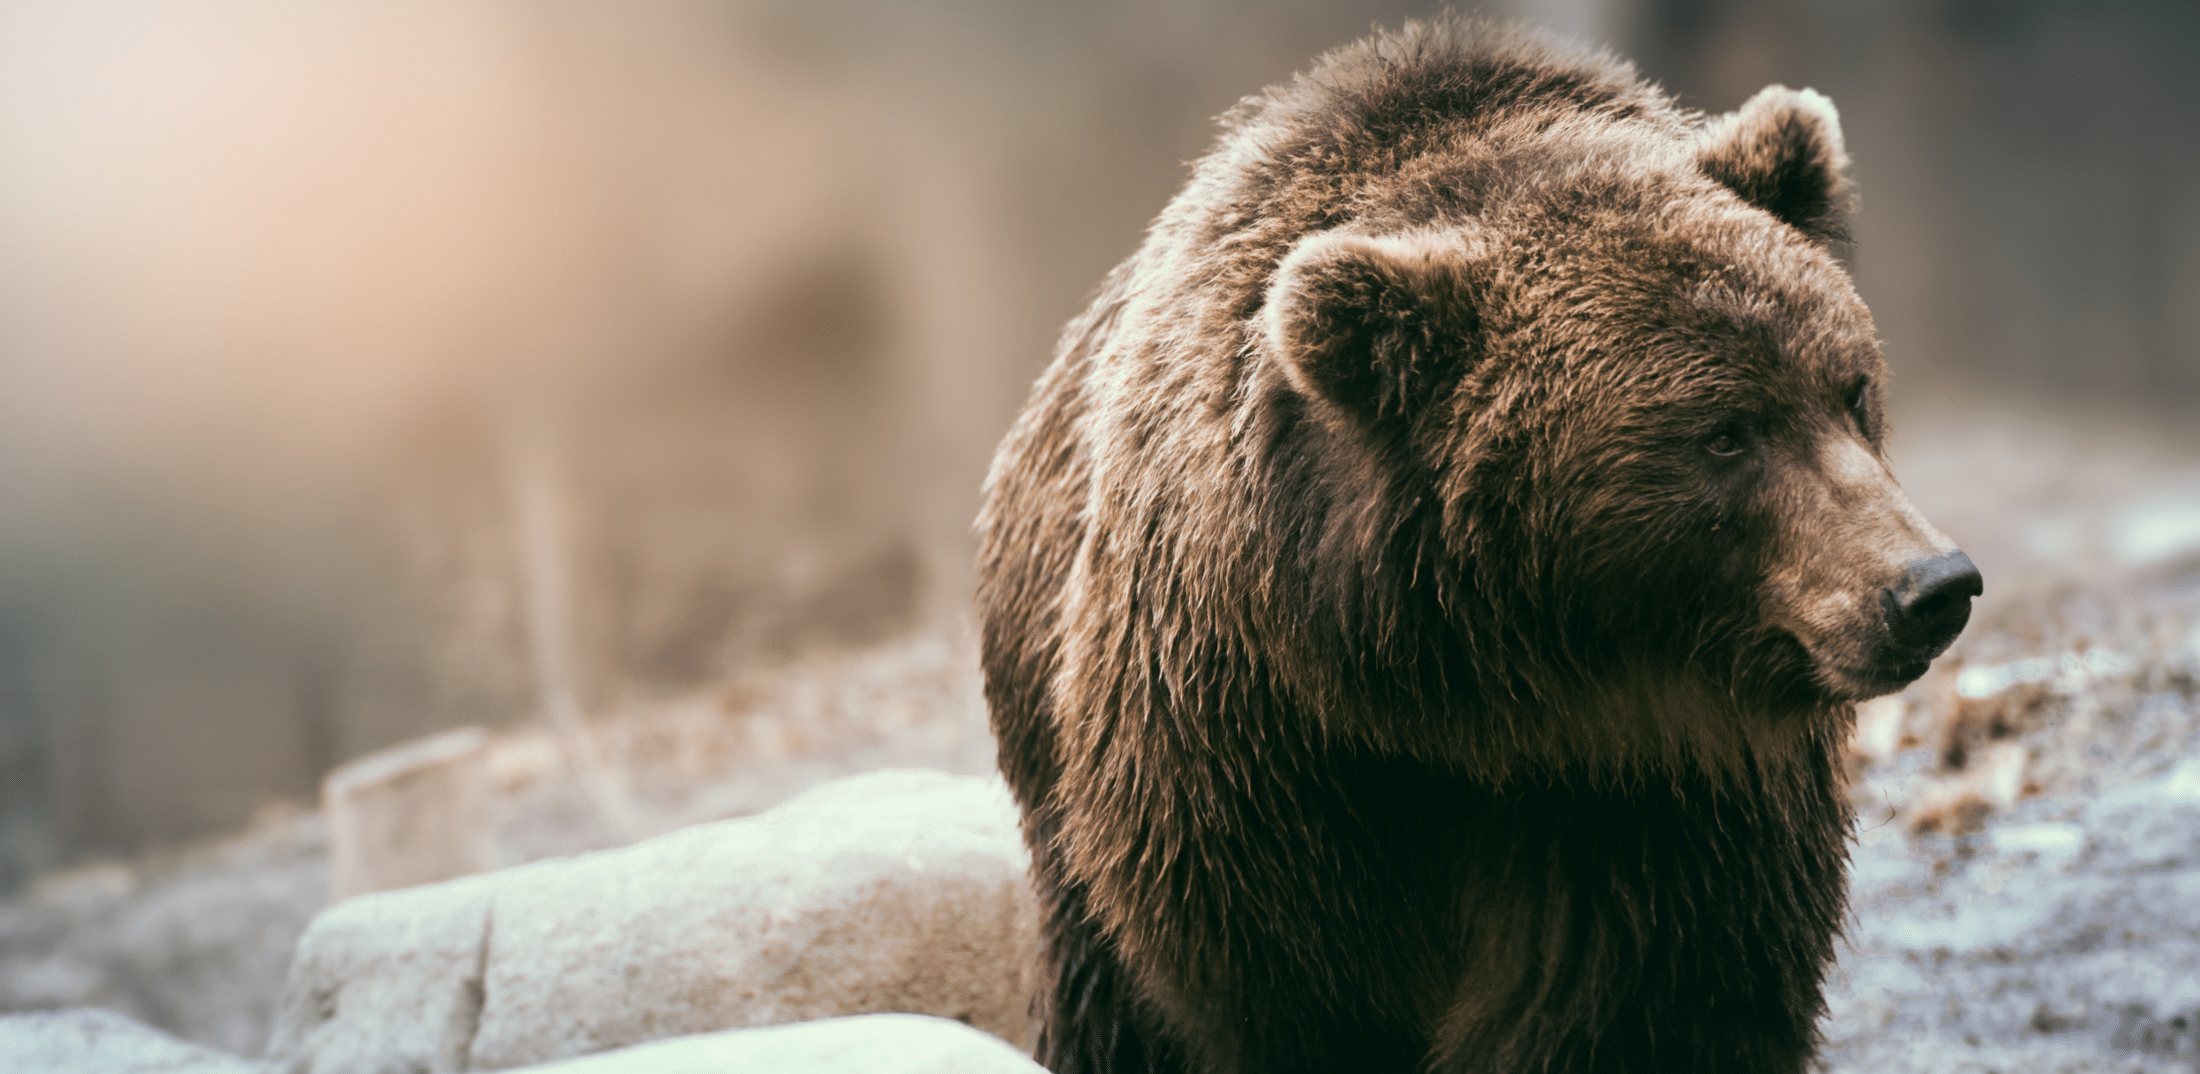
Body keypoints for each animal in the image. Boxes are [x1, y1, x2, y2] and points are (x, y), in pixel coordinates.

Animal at [976, 16, 1980, 1074]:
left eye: (1850, 387)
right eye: (1723, 434)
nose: (1929, 587)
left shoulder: (1670, 809)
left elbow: (1649, 1002)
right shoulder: (1254, 764)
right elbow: (1291, 992)